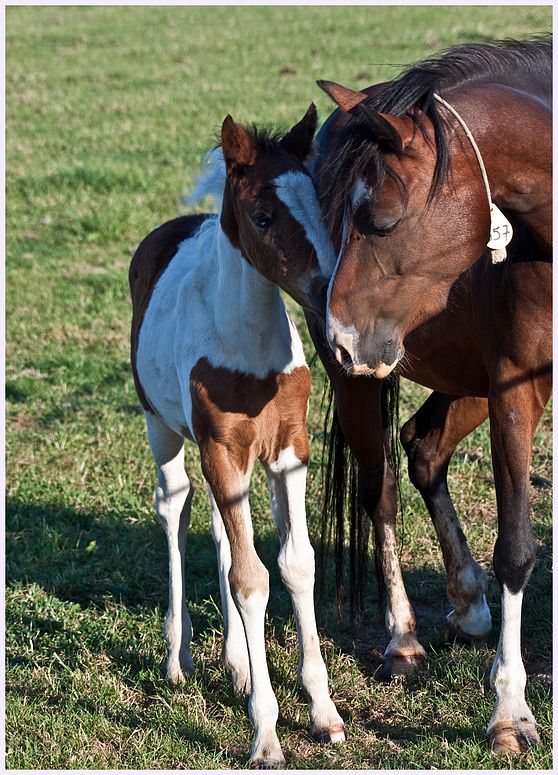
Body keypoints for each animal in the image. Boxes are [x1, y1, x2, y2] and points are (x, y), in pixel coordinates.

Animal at [130, 106, 346, 768]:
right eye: (263, 216)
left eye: (320, 203)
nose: (328, 293)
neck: (249, 353)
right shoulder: (222, 449)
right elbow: (251, 580)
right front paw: (267, 734)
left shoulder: (288, 452)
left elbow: (295, 565)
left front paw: (323, 712)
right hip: (163, 428)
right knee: (175, 509)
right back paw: (179, 659)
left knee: (223, 535)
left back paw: (235, 664)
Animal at [316, 38, 556, 756]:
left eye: (380, 218)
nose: (337, 333)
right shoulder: (516, 391)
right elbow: (517, 549)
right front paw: (510, 711)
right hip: (369, 381)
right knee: (383, 490)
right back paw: (403, 641)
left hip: (462, 379)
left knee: (423, 449)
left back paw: (469, 601)